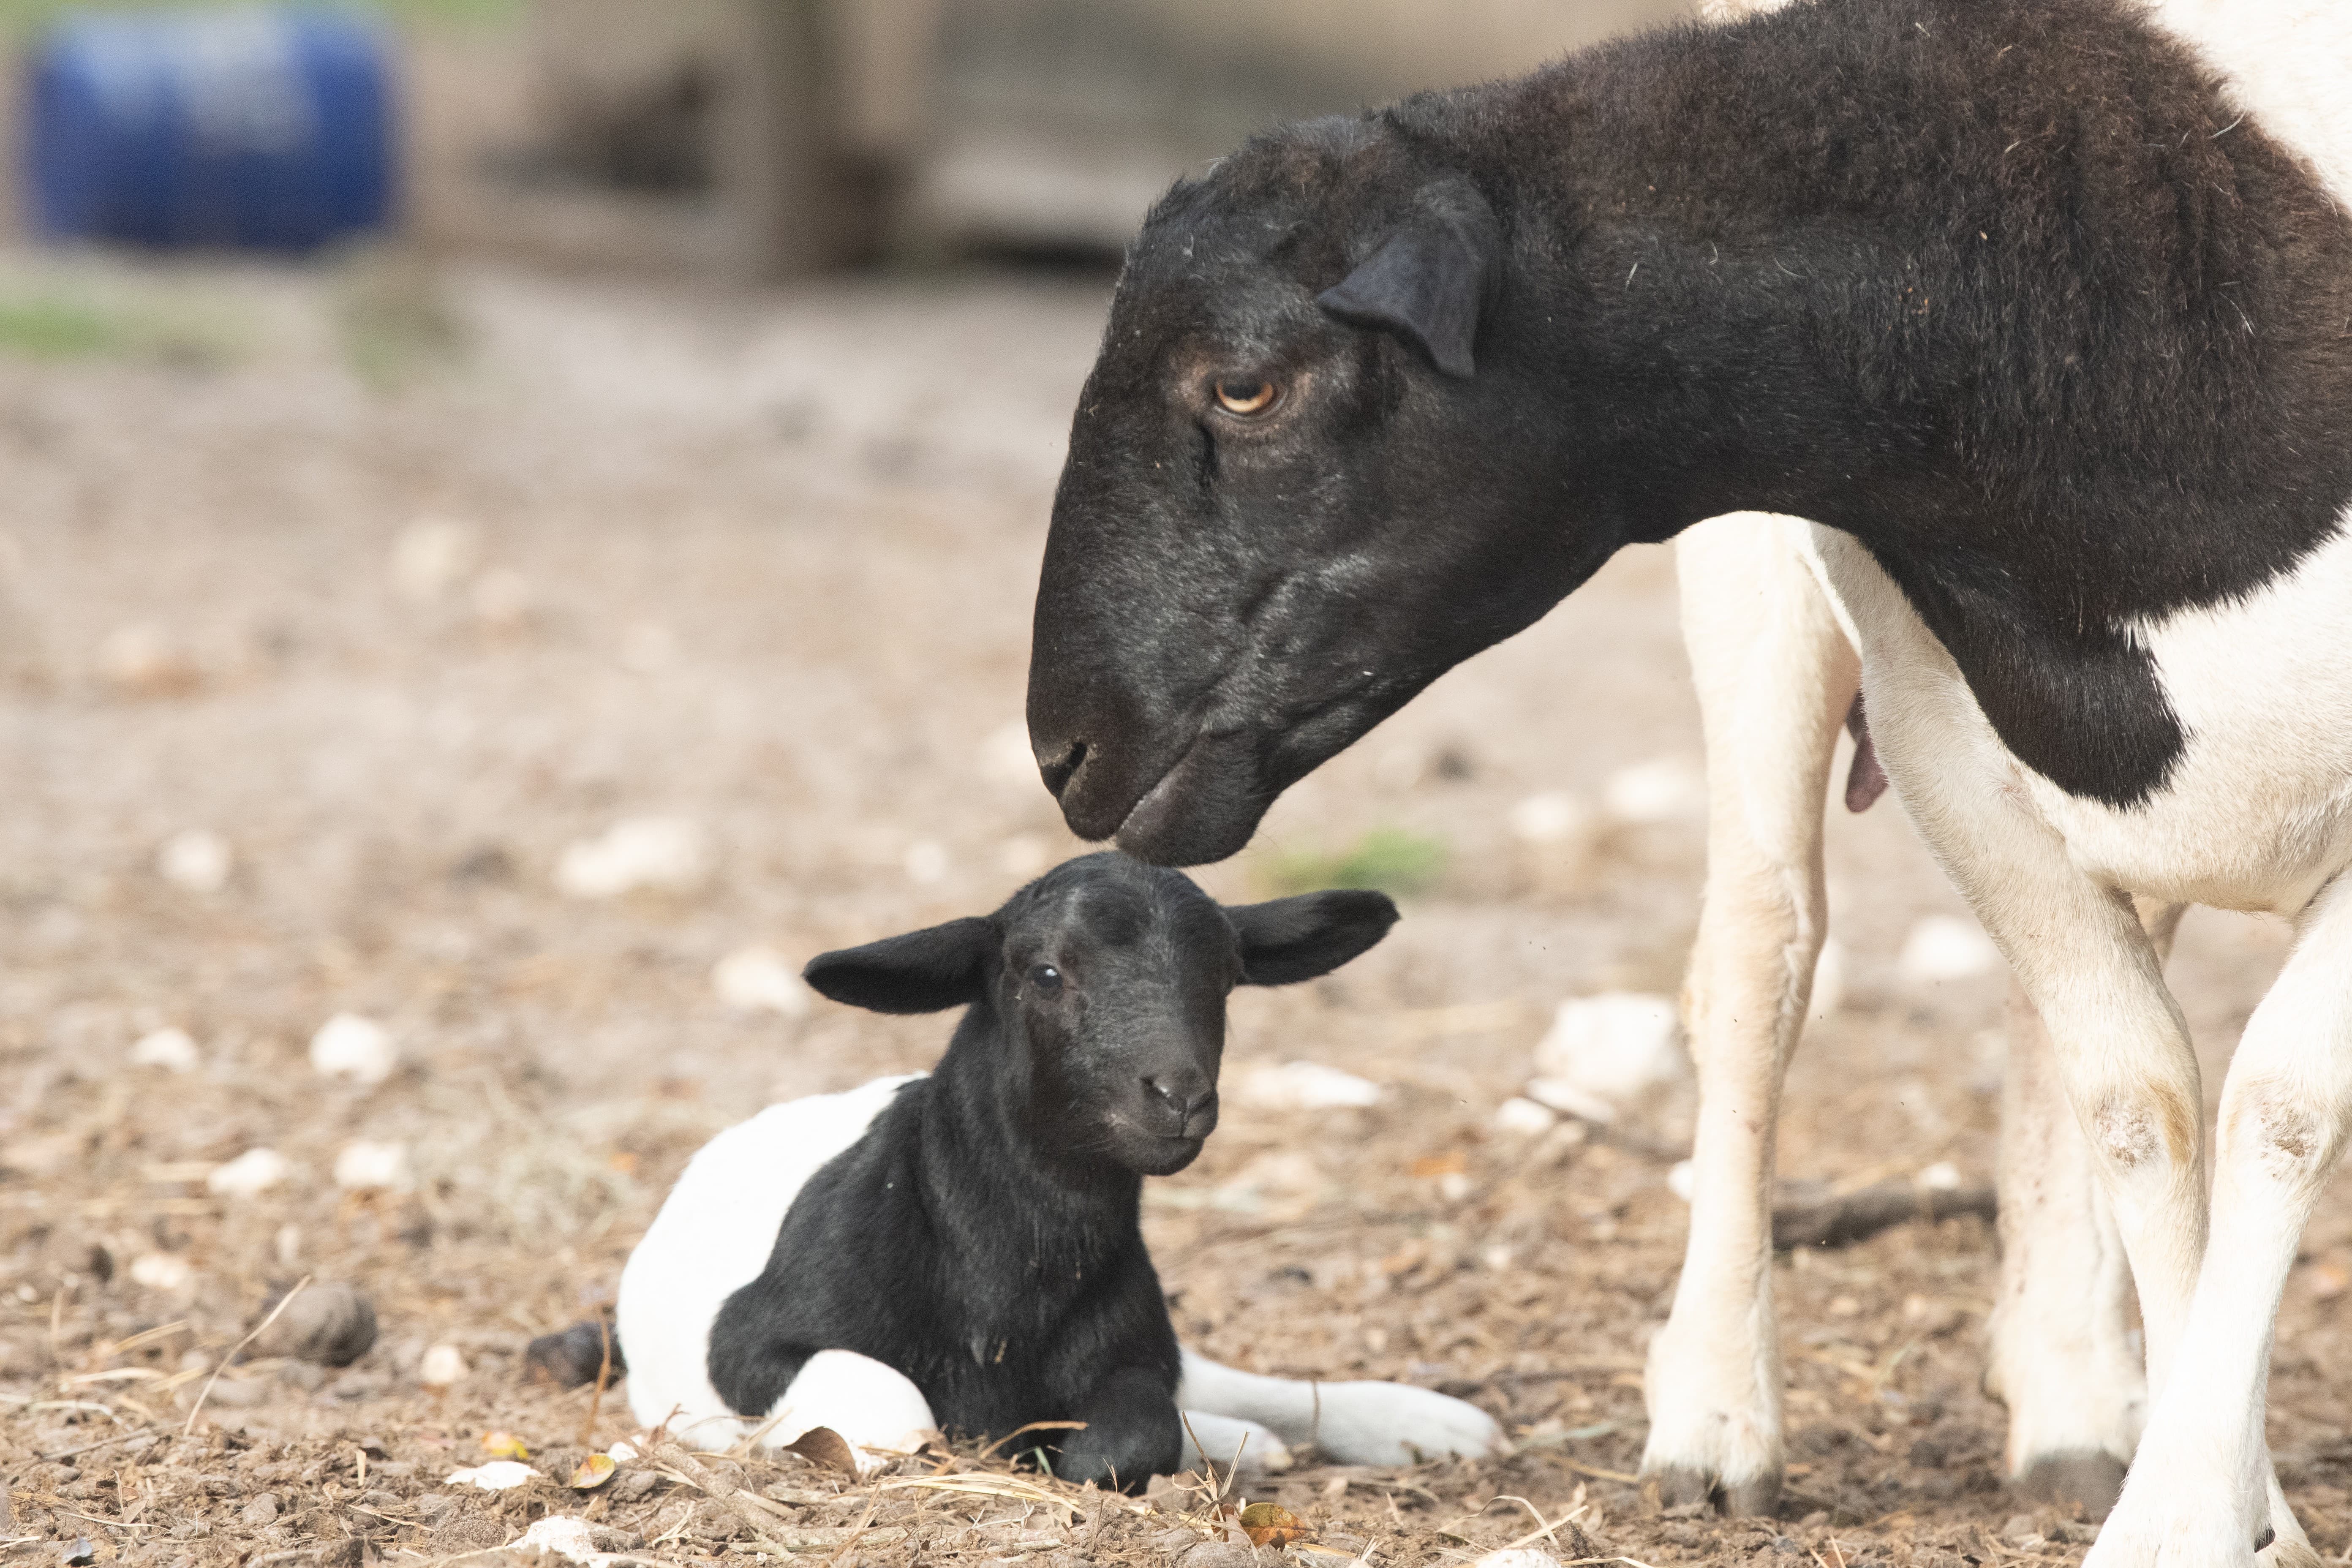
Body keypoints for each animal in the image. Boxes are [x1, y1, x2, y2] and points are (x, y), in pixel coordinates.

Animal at [621, 851, 1505, 1495]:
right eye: (1044, 973)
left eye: (1226, 976)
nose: (1178, 1094)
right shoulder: (752, 1346)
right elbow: (897, 1413)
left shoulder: (1129, 1351)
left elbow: (1136, 1428)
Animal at [1021, 0, 2352, 1561]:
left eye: (1245, 384)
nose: (1063, 749)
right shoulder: (1945, 724)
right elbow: (2145, 1102)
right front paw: (2223, 1512)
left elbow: (2268, 1109)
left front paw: (2201, 1501)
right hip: (1761, 582)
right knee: (1760, 960)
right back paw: (1722, 1418)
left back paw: (2077, 1397)